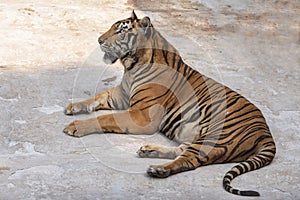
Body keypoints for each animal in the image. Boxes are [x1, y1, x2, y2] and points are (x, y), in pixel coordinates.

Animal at [63, 10, 276, 196]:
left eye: (121, 31)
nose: (99, 41)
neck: (131, 66)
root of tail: (266, 132)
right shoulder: (120, 95)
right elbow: (97, 97)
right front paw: (73, 106)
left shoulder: (141, 114)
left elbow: (105, 118)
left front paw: (75, 126)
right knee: (183, 150)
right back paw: (149, 150)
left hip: (218, 136)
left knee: (190, 160)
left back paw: (158, 170)